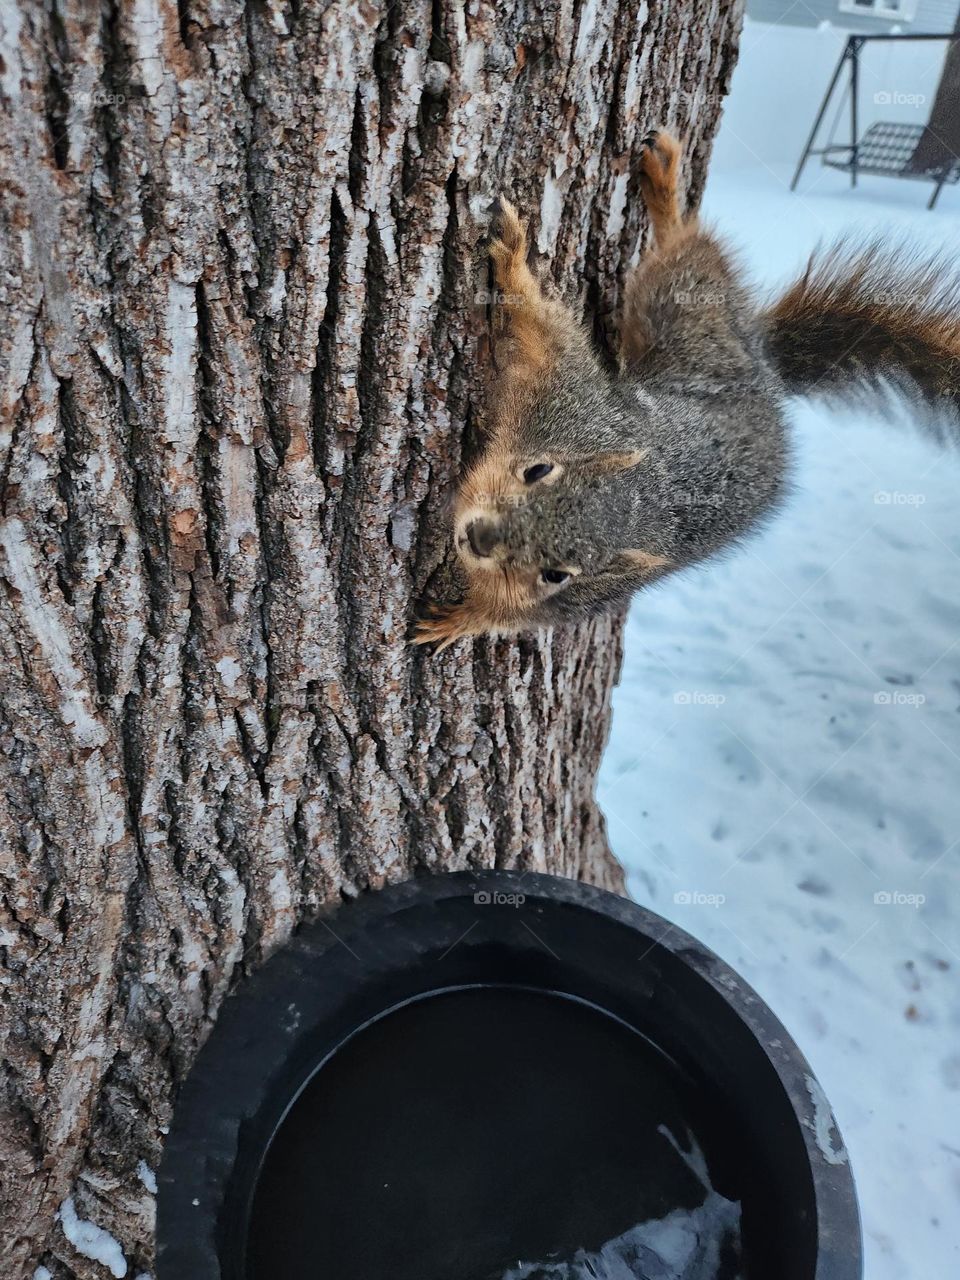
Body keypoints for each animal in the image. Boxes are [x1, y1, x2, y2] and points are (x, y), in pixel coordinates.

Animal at [415, 129, 960, 651]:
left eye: (557, 575)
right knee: (685, 249)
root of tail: (767, 376)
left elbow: (504, 617)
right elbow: (544, 327)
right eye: (538, 470)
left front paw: (458, 622)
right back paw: (667, 191)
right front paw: (511, 257)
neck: (641, 500)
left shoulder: (577, 600)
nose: (480, 538)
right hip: (684, 311)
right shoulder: (567, 395)